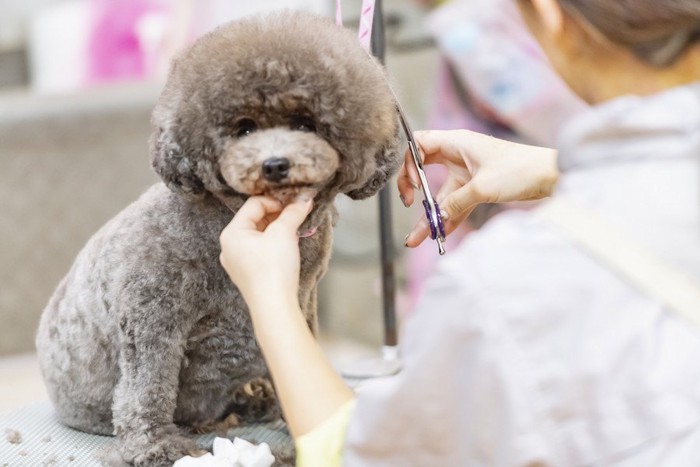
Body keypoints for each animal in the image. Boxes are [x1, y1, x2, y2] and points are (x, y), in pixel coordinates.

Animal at [37, 11, 400, 467]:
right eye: (243, 129)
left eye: (306, 124)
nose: (274, 165)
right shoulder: (152, 312)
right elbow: (148, 386)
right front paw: (154, 446)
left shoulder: (302, 299)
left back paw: (255, 399)